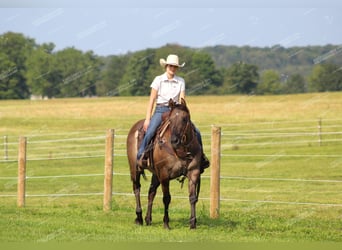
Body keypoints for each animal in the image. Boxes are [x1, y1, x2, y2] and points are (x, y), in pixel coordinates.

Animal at [127, 98, 203, 229]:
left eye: (185, 119)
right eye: (170, 120)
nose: (174, 140)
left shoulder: (194, 172)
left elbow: (193, 198)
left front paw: (193, 223)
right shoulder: (164, 175)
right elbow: (167, 198)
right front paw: (166, 223)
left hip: (155, 174)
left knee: (151, 192)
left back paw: (148, 219)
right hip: (135, 169)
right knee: (137, 189)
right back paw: (139, 217)